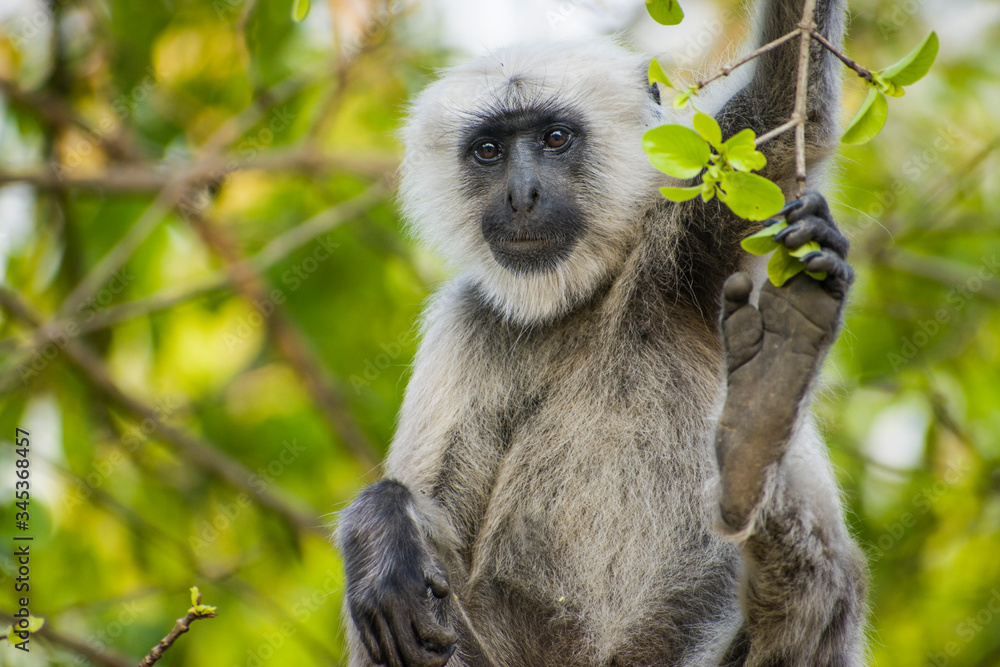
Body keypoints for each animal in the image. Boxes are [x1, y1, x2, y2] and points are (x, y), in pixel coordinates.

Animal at [337, 0, 868, 664]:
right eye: (488, 151)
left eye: (554, 139)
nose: (521, 195)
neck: (574, 302)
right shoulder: (470, 323)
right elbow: (432, 520)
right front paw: (381, 531)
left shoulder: (680, 250)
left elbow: (786, 113)